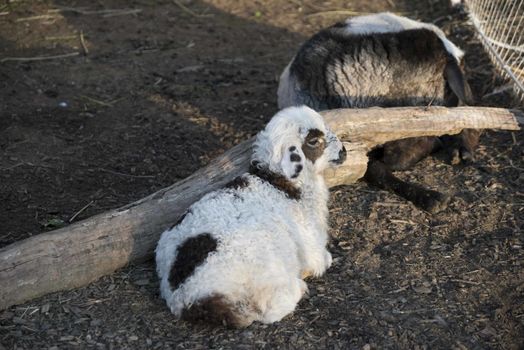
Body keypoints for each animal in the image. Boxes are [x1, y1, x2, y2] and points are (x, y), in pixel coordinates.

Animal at [158, 106, 350, 328]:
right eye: (313, 140)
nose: (343, 151)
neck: (281, 185)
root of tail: (188, 298)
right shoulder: (309, 240)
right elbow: (321, 260)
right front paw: (322, 263)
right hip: (266, 265)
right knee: (270, 309)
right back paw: (299, 286)